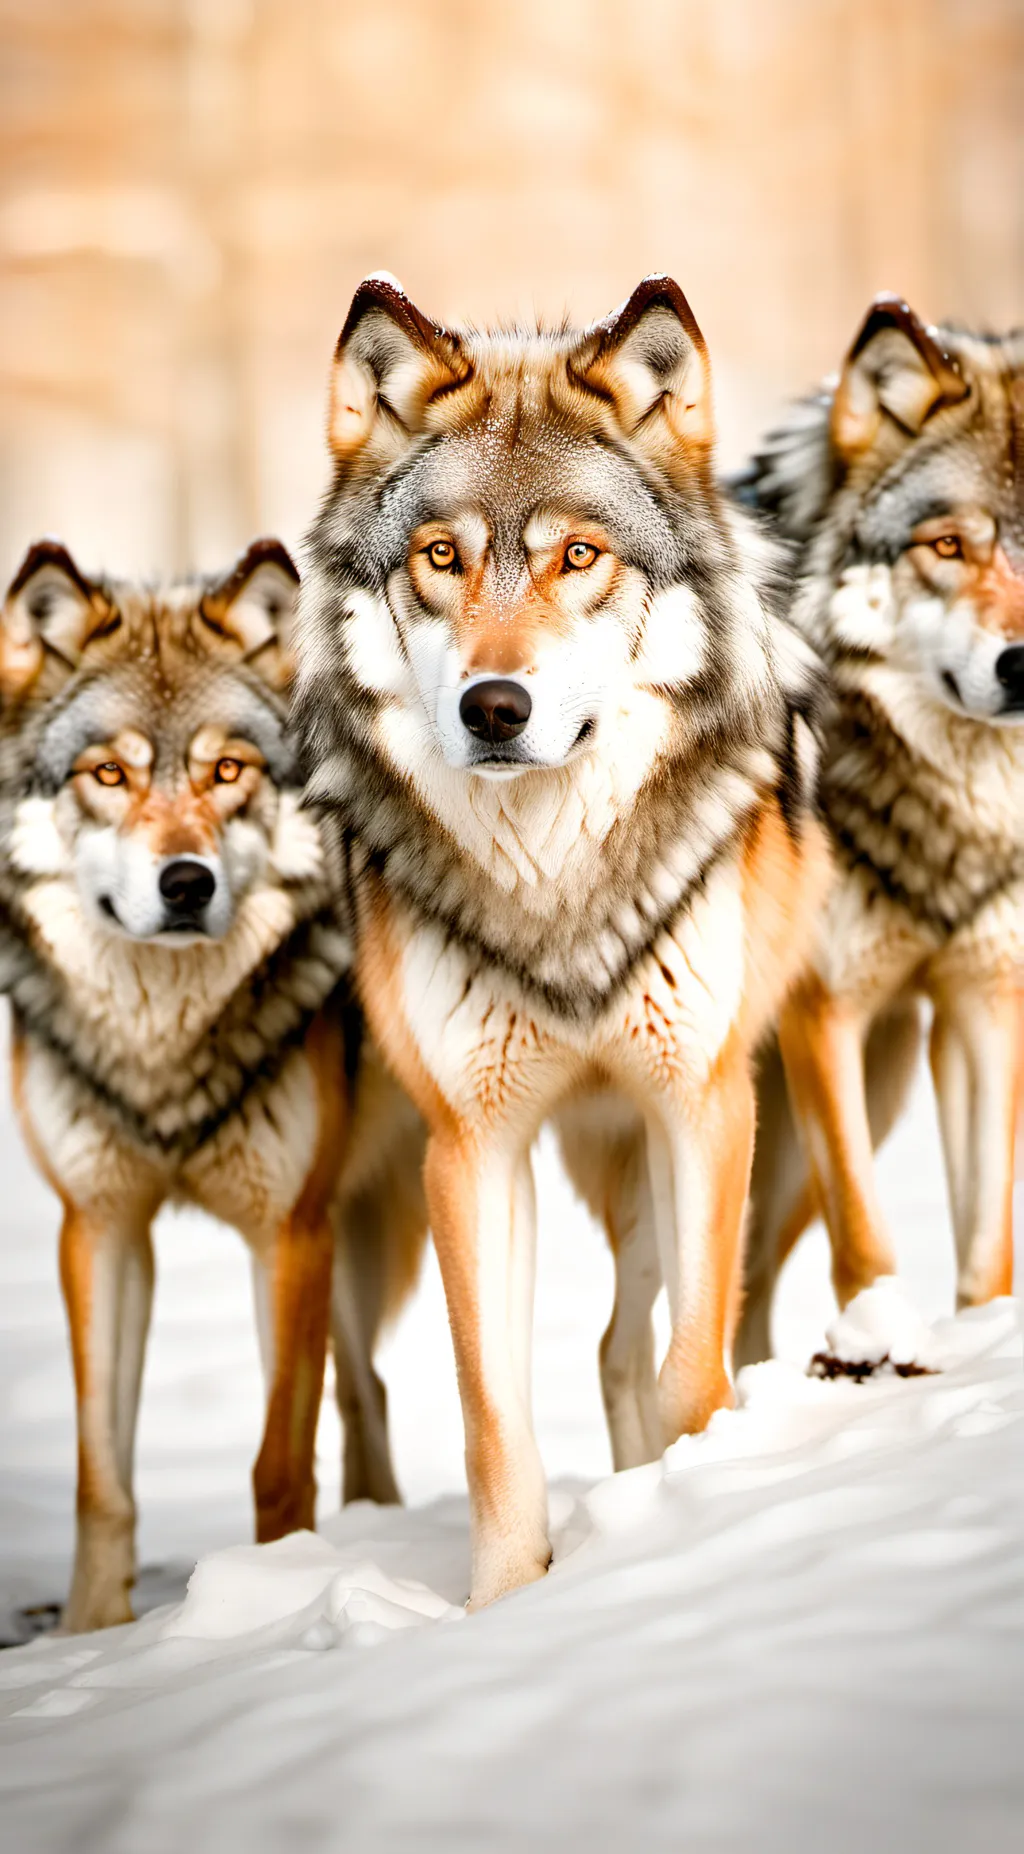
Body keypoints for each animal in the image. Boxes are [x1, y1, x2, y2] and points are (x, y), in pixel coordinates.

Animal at [0, 538, 423, 1632]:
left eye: (226, 771)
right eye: (109, 775)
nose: (185, 883)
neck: (165, 1048)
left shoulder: (287, 1234)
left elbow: (277, 1463)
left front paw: (262, 1602)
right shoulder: (100, 1228)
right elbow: (100, 1477)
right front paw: (95, 1633)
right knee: (370, 1394)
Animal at [293, 272, 831, 1607]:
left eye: (577, 558)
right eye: (441, 559)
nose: (496, 708)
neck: (557, 893)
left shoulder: (699, 1105)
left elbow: (694, 1364)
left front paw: (687, 1530)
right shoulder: (470, 1148)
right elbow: (494, 1419)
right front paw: (502, 1609)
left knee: (633, 1341)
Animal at [734, 298, 1024, 1365]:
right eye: (947, 547)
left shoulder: (985, 999)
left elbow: (988, 1240)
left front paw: (977, 1343)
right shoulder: (826, 1011)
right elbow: (864, 1230)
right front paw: (886, 1345)